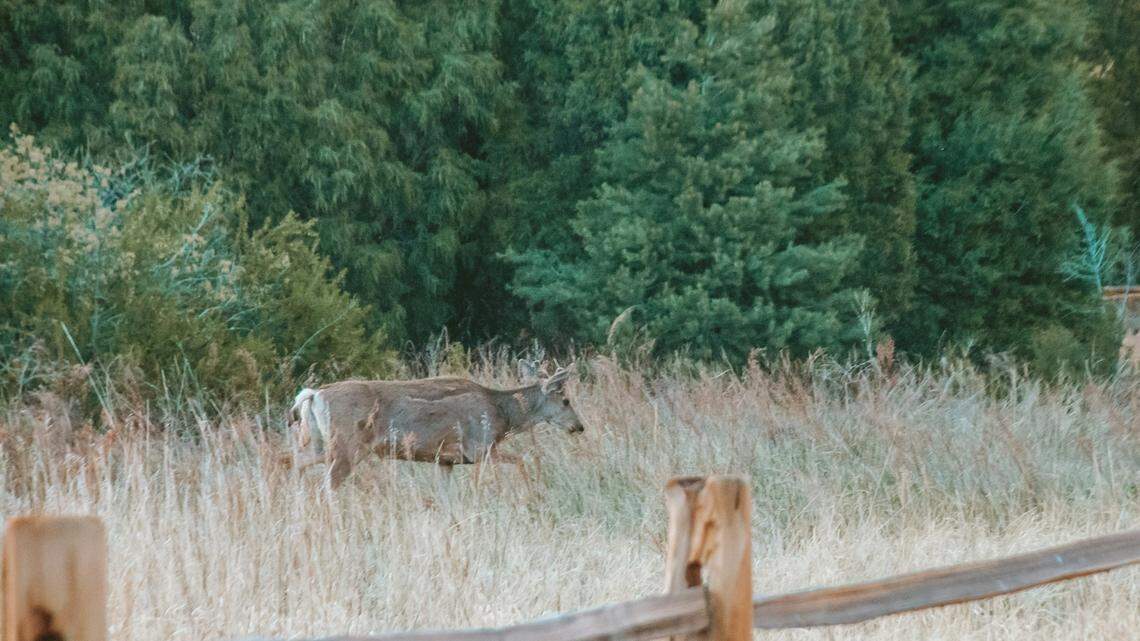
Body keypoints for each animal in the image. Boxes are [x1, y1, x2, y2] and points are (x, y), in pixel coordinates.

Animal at [285, 363, 583, 488]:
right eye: (566, 400)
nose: (579, 426)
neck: (501, 414)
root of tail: (315, 394)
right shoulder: (479, 447)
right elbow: (522, 459)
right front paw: (532, 493)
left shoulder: (445, 460)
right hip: (347, 446)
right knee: (326, 486)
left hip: (322, 443)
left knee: (299, 462)